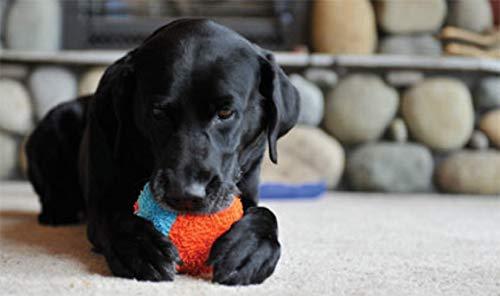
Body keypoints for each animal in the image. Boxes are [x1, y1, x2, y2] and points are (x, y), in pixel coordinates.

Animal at [25, 19, 298, 286]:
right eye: (158, 112)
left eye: (225, 112)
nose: (186, 194)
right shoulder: (101, 199)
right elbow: (114, 215)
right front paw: (143, 247)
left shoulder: (244, 192)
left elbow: (265, 213)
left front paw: (249, 248)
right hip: (57, 120)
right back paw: (56, 211)